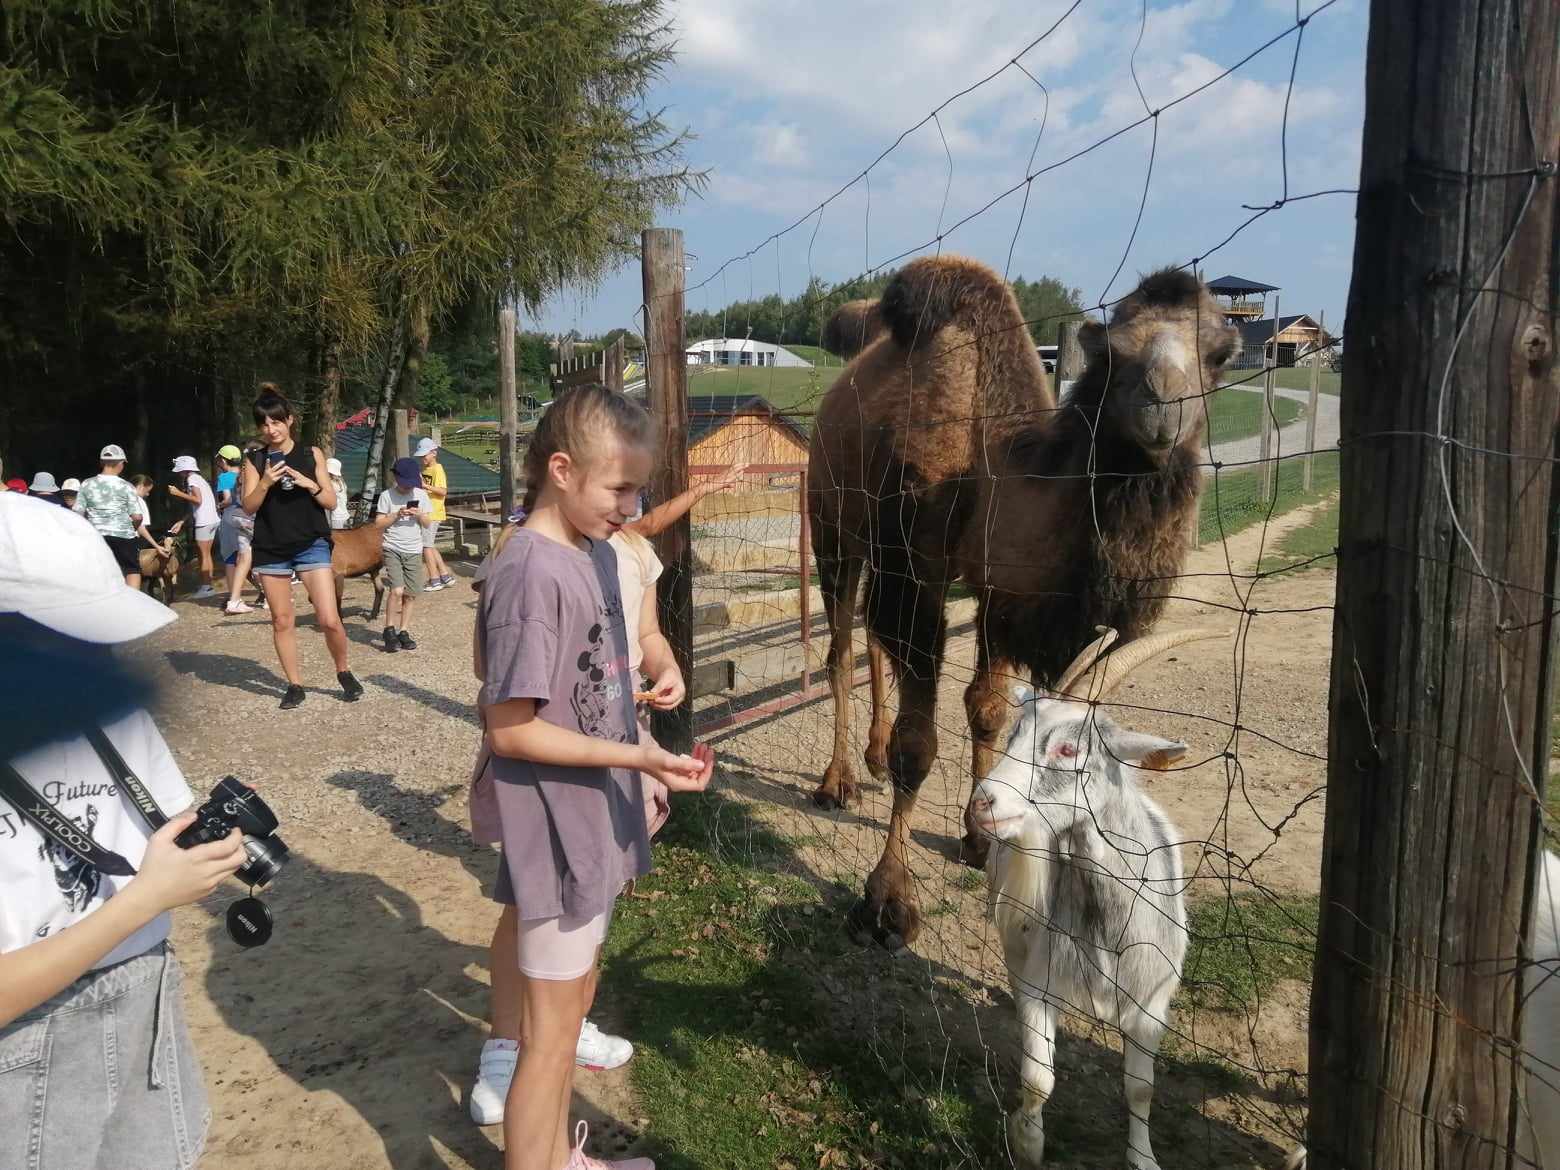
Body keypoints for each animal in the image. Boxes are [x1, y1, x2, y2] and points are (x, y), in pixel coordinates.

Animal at [807, 255, 1238, 949]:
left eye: (1221, 353)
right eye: (1112, 352)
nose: (1161, 412)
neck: (991, 470)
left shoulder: (1002, 593)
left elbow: (986, 709)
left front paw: (980, 839)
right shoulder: (917, 568)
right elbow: (917, 746)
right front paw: (887, 904)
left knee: (870, 643)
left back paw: (867, 758)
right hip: (831, 524)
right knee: (842, 647)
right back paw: (836, 782)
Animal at [971, 629, 1209, 1170]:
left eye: (1067, 747)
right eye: (1013, 737)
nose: (982, 802)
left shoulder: (1152, 1002)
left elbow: (1141, 1089)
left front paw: (1144, 1159)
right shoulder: (1039, 978)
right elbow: (1038, 1077)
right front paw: (1027, 1142)